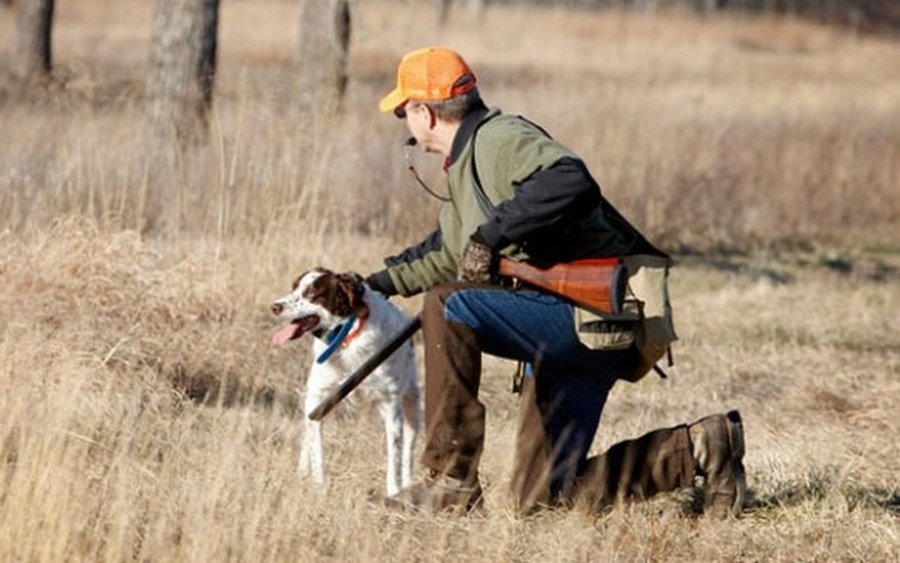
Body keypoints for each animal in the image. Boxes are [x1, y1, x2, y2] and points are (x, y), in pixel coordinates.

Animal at [270, 266, 422, 496]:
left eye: (312, 293)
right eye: (294, 288)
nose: (274, 307)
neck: (346, 340)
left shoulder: (390, 405)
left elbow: (395, 455)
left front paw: (394, 492)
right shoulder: (317, 400)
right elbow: (316, 449)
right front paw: (318, 485)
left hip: (412, 405)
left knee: (408, 451)